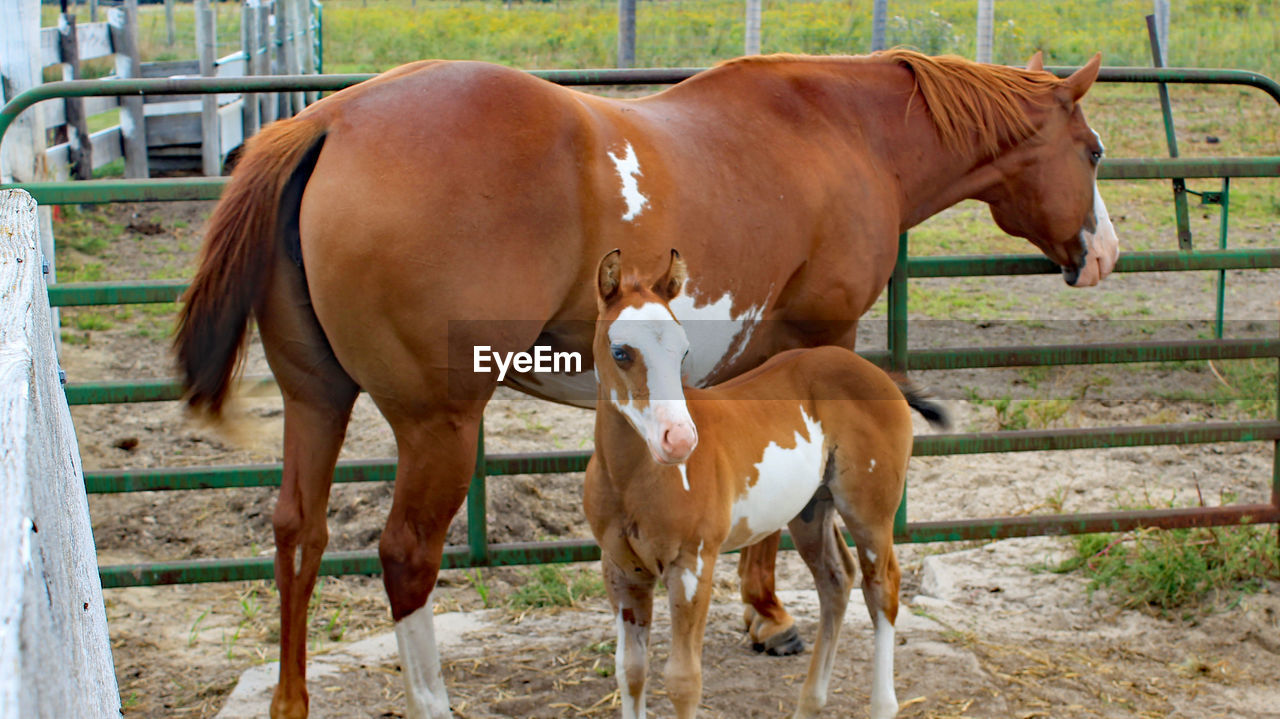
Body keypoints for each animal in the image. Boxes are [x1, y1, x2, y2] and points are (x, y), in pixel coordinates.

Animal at [586, 248, 947, 716]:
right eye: (620, 351)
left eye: (683, 351)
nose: (680, 439)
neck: (630, 478)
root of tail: (879, 373)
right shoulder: (621, 571)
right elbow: (630, 672)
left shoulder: (692, 565)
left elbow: (683, 681)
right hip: (810, 510)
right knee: (836, 582)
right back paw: (809, 702)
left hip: (870, 509)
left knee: (881, 587)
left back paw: (882, 704)